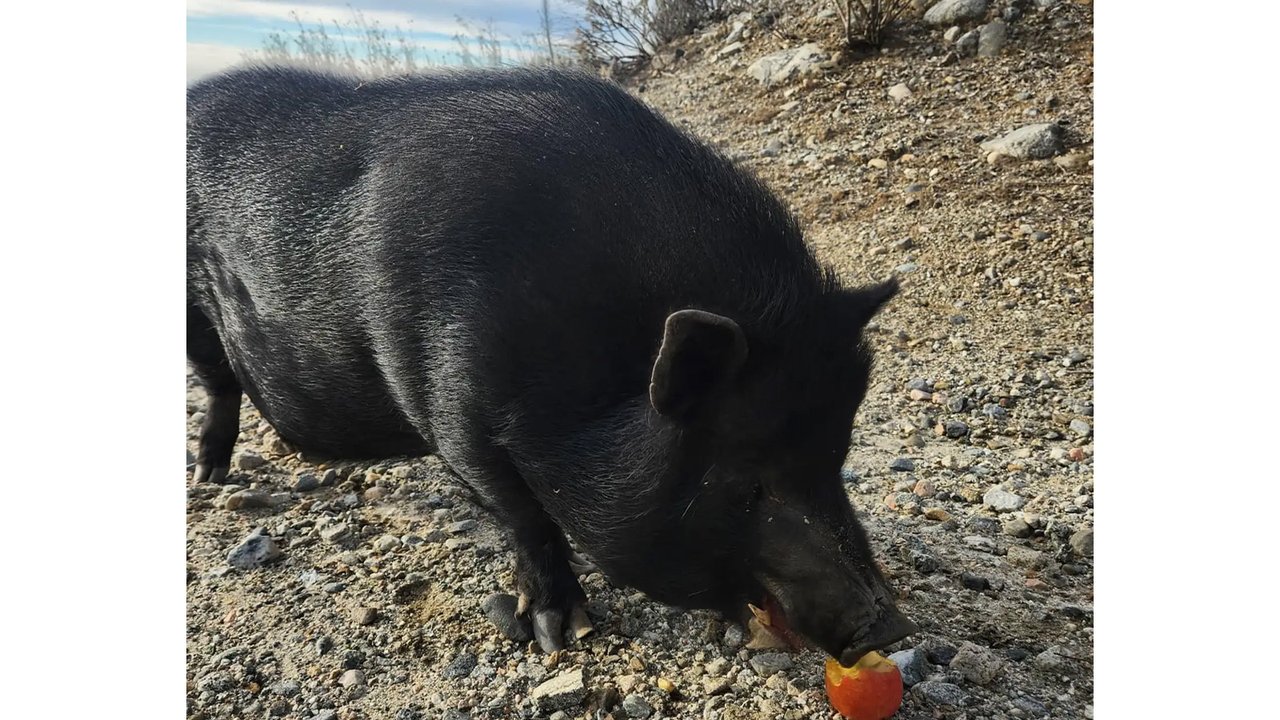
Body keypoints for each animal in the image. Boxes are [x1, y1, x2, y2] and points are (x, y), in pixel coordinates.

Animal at [185, 67, 916, 661]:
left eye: (836, 457)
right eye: (746, 483)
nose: (891, 629)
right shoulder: (450, 408)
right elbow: (527, 517)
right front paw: (562, 635)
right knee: (218, 386)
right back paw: (209, 477)